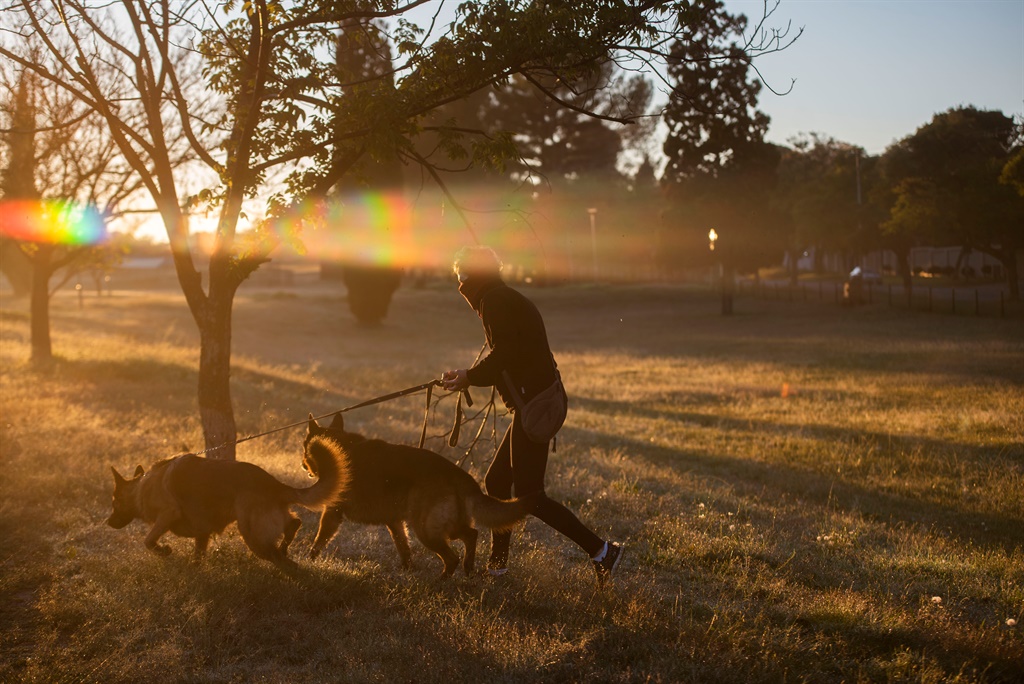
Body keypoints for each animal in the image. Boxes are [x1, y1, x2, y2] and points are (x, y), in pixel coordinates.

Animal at [107, 438, 348, 573]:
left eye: (114, 502)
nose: (107, 522)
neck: (142, 487)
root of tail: (274, 484)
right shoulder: (202, 532)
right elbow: (198, 555)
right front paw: (194, 571)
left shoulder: (168, 513)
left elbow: (148, 540)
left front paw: (164, 551)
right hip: (268, 525)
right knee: (293, 524)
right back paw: (285, 546)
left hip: (251, 534)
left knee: (283, 560)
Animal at [299, 411, 536, 577]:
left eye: (304, 447)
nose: (302, 465)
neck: (338, 445)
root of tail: (459, 475)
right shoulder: (395, 522)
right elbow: (403, 546)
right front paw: (408, 570)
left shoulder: (332, 514)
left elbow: (319, 540)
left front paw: (308, 560)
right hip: (444, 527)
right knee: (471, 534)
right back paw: (467, 568)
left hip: (426, 529)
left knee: (452, 557)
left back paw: (441, 581)